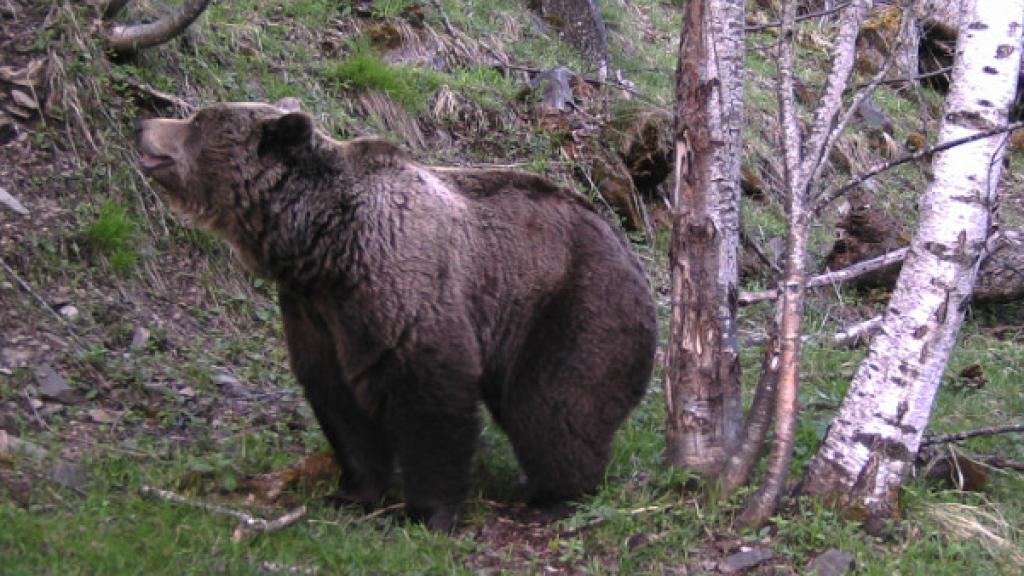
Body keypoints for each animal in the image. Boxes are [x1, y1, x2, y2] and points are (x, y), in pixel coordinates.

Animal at [135, 101, 657, 531]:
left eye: (197, 120)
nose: (143, 125)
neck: (324, 244)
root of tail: (628, 246)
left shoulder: (402, 286)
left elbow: (431, 394)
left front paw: (426, 511)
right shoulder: (317, 313)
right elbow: (339, 402)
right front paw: (352, 493)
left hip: (573, 302)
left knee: (554, 406)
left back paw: (556, 497)